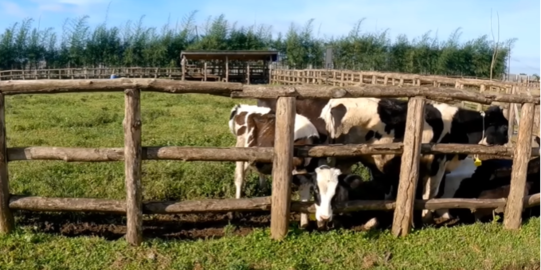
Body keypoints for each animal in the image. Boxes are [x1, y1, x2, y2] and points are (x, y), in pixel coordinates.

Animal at [318, 97, 508, 224]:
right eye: (505, 127)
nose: (507, 142)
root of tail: (334, 103)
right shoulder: (438, 162)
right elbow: (431, 192)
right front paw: (427, 217)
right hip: (341, 158)